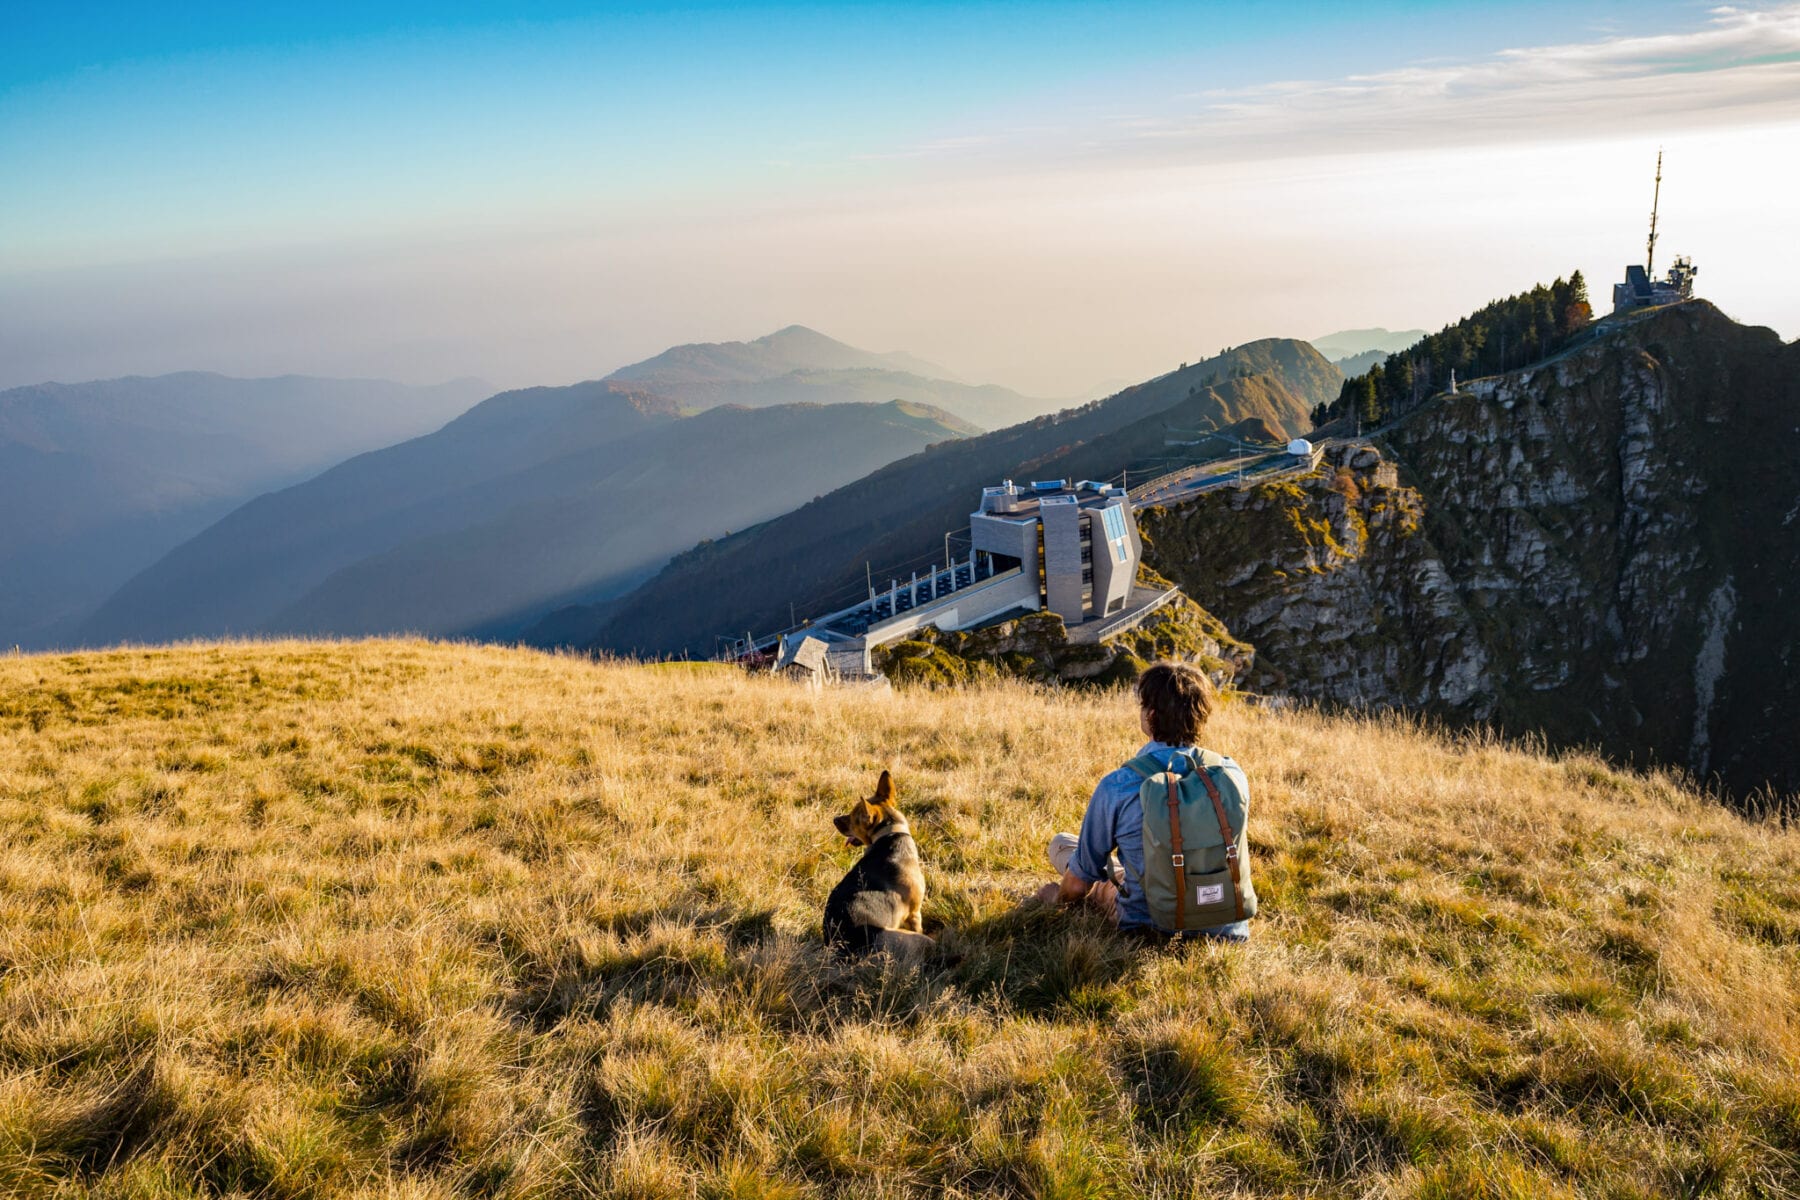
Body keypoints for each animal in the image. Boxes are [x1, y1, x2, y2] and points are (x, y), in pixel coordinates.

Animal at [824, 773, 936, 964]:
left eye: (852, 817)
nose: (834, 819)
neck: (890, 832)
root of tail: (847, 949)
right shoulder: (914, 913)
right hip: (920, 940)